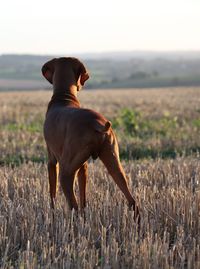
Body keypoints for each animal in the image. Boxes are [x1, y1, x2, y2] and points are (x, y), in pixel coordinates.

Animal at [41, 56, 140, 220]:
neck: (63, 97)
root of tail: (96, 123)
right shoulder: (84, 167)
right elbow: (83, 198)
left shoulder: (52, 161)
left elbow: (52, 193)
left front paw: (52, 214)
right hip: (114, 163)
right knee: (132, 201)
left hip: (66, 172)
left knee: (73, 206)